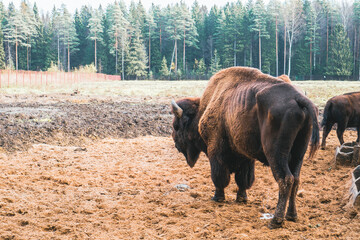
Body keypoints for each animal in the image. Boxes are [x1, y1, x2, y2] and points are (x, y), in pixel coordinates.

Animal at [170, 66, 320, 228]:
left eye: (176, 126)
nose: (176, 143)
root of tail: (298, 98)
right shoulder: (246, 157)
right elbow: (243, 179)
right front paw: (241, 198)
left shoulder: (215, 152)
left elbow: (219, 177)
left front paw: (217, 197)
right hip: (299, 152)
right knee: (296, 179)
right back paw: (292, 216)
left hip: (276, 153)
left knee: (286, 179)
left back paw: (276, 220)